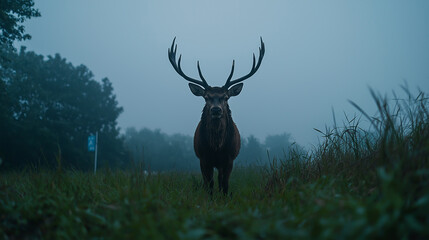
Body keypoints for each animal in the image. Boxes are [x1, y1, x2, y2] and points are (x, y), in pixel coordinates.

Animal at [167, 37, 264, 195]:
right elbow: (209, 184)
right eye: (206, 97)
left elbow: (225, 184)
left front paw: (224, 197)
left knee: (221, 180)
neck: (216, 147)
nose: (216, 110)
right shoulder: (203, 158)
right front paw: (210, 198)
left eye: (226, 97)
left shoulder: (229, 159)